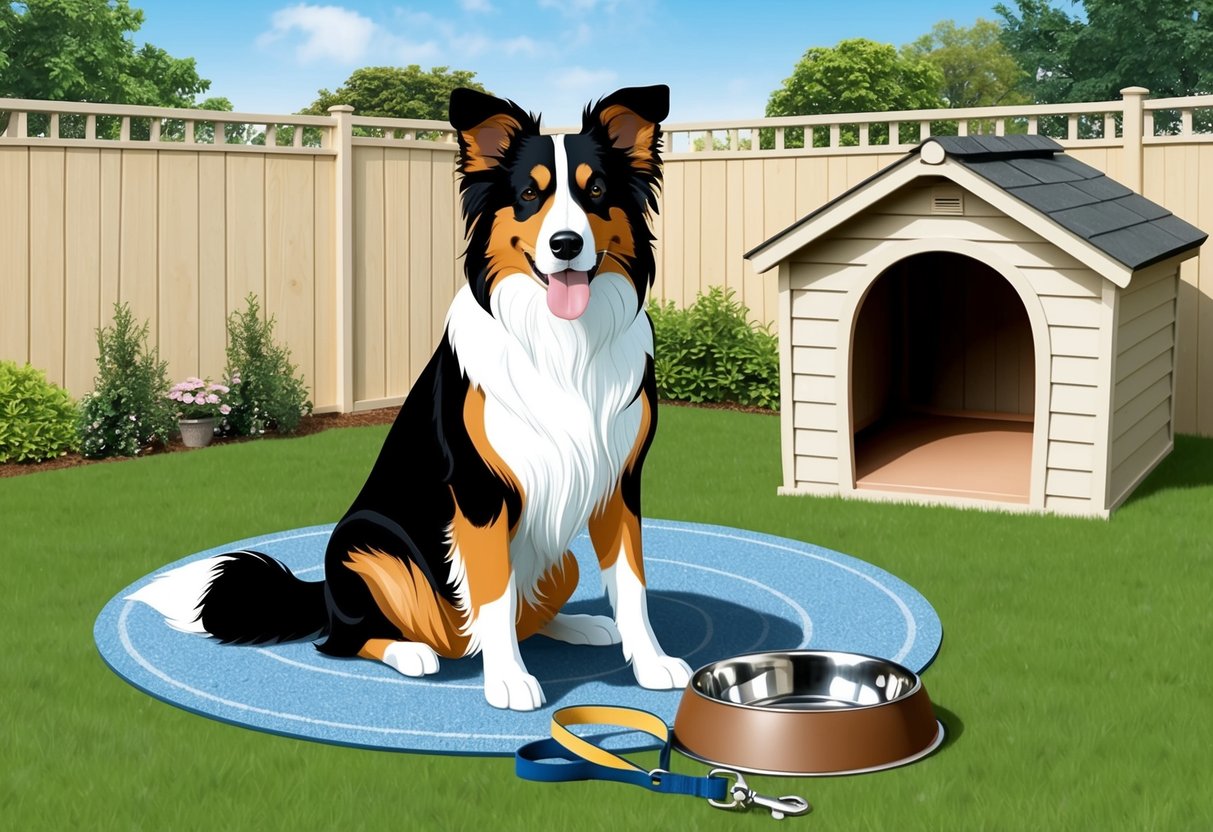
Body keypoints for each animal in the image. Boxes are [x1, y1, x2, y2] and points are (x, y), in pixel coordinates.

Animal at [131, 83, 693, 708]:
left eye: (596, 191)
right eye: (529, 194)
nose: (566, 244)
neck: (564, 343)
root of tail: (321, 591)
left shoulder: (621, 480)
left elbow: (631, 582)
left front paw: (651, 663)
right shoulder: (478, 491)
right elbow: (493, 592)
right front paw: (508, 681)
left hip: (559, 557)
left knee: (524, 615)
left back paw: (577, 625)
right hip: (365, 545)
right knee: (348, 639)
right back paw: (412, 652)